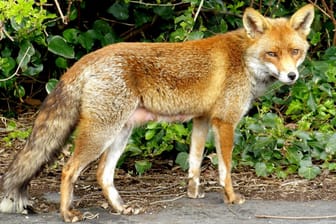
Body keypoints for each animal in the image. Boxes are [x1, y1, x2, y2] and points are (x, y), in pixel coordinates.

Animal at [0, 3, 316, 222]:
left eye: (295, 51)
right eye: (272, 54)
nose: (292, 76)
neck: (245, 60)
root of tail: (84, 59)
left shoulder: (201, 119)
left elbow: (194, 163)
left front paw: (193, 193)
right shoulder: (224, 121)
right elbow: (225, 169)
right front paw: (231, 197)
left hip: (121, 132)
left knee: (103, 174)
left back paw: (120, 208)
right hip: (102, 133)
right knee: (69, 169)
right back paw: (68, 214)